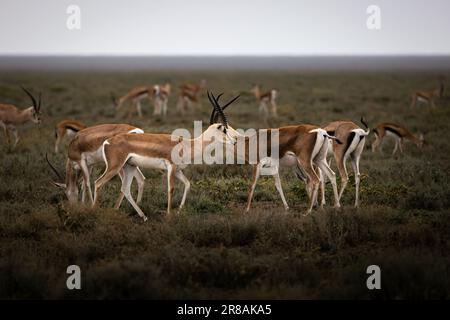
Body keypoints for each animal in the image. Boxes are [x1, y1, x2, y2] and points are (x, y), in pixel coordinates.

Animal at [93, 90, 237, 220]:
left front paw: (179, 211)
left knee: (125, 189)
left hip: (129, 167)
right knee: (98, 183)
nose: (234, 141)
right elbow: (171, 189)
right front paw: (169, 215)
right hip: (115, 167)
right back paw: (93, 211)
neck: (187, 145)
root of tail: (107, 141)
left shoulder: (178, 170)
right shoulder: (171, 168)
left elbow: (187, 184)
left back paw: (143, 216)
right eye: (225, 130)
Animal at [207, 91, 342, 214]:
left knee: (316, 179)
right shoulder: (273, 166)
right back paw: (335, 206)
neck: (247, 142)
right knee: (332, 175)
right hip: (319, 159)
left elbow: (252, 185)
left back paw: (308, 211)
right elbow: (278, 185)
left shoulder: (257, 164)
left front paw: (246, 210)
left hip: (306, 162)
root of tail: (321, 132)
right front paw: (286, 207)